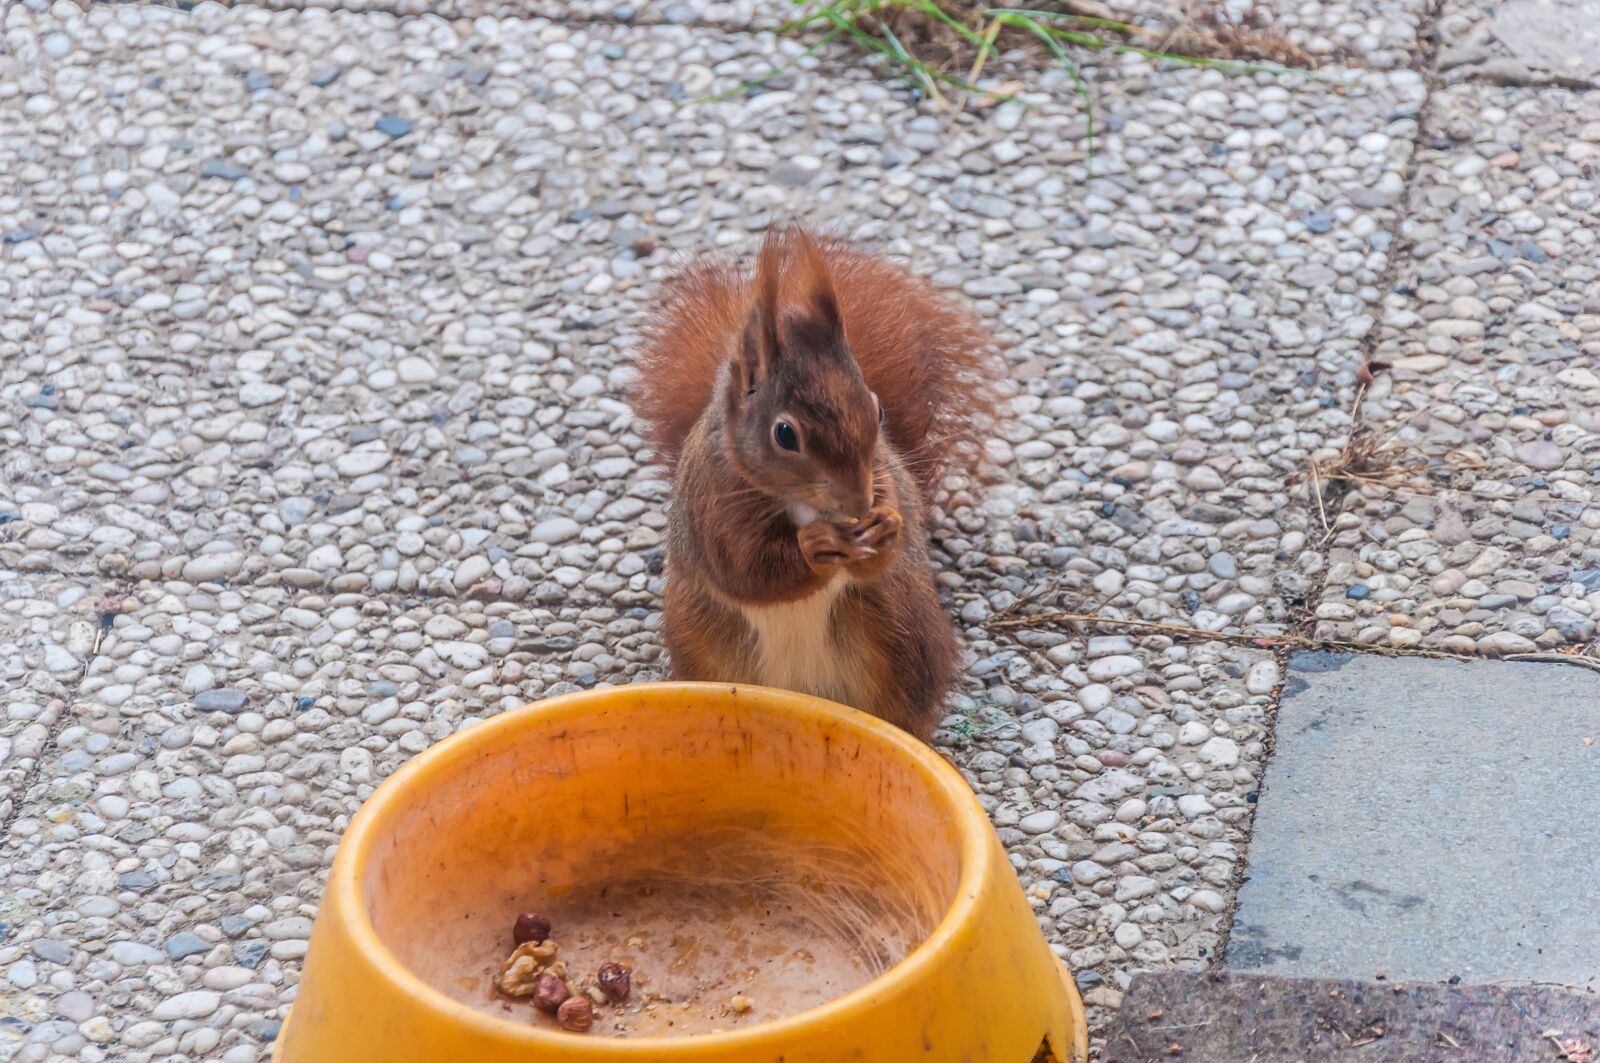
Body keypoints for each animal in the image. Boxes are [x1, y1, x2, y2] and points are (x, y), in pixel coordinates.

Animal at [631, 227, 1001, 740]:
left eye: (878, 410)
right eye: (785, 434)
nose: (859, 503)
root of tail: (802, 692)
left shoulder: (883, 478)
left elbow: (879, 555)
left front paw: (888, 526)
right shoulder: (711, 505)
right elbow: (745, 569)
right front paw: (814, 546)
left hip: (902, 637)